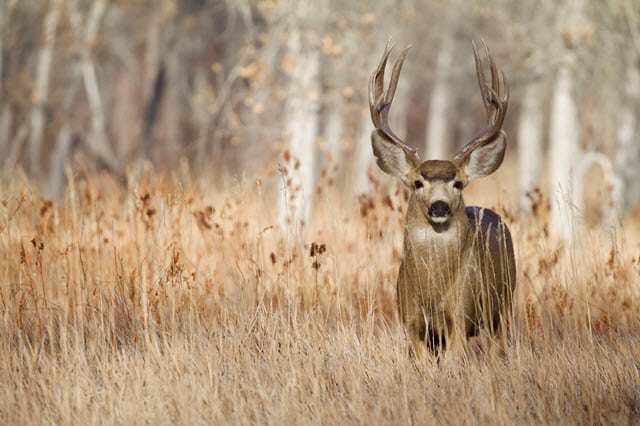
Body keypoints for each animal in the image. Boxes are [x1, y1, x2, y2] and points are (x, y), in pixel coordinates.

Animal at [370, 40, 516, 360]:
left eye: (458, 183)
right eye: (417, 182)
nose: (440, 206)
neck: (432, 291)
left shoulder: (461, 315)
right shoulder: (411, 321)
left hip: (504, 304)